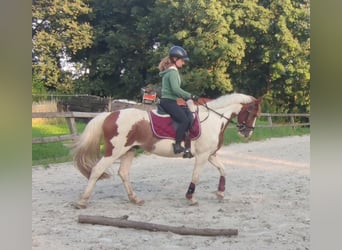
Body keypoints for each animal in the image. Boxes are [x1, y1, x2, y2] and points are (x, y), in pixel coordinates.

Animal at [71, 93, 262, 208]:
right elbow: (196, 177)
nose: (247, 133)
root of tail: (111, 114)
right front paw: (190, 197)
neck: (214, 118)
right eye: (252, 113)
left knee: (123, 173)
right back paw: (82, 201)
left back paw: (135, 198)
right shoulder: (202, 157)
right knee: (97, 170)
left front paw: (221, 193)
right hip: (114, 151)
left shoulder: (210, 155)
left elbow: (223, 169)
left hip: (129, 150)